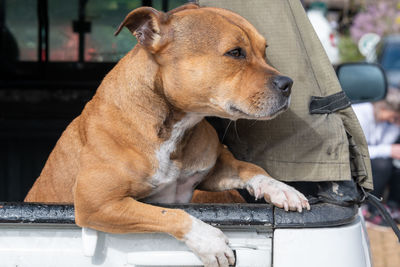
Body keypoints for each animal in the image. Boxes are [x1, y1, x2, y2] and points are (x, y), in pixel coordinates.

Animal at [25, 4, 310, 267]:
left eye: (265, 50)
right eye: (235, 53)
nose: (288, 84)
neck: (175, 128)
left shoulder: (213, 170)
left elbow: (250, 167)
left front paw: (282, 189)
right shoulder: (97, 203)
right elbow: (167, 214)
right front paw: (210, 241)